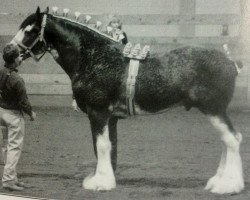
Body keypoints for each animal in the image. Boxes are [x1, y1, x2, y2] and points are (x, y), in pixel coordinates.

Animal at [10, 7, 243, 193]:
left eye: (30, 31)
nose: (7, 53)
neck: (93, 56)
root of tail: (230, 62)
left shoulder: (98, 113)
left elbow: (102, 146)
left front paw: (100, 183)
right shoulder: (110, 118)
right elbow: (108, 146)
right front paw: (106, 178)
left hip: (214, 109)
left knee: (232, 139)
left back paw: (228, 185)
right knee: (228, 140)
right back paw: (219, 181)